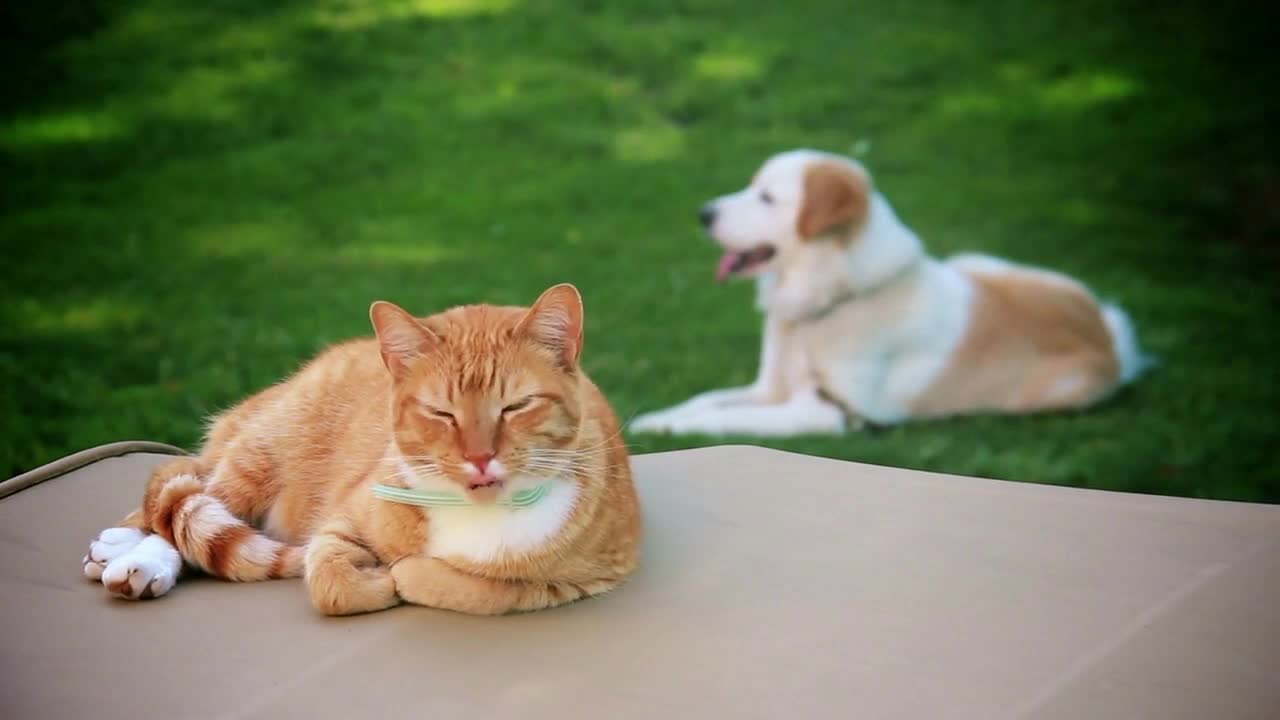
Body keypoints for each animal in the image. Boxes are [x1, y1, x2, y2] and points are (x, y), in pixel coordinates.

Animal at [80, 283, 640, 614]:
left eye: (516, 406)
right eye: (440, 413)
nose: (479, 457)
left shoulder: (589, 576)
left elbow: (484, 590)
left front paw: (408, 574)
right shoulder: (342, 519)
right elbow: (331, 580)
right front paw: (379, 579)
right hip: (258, 456)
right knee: (184, 505)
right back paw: (133, 556)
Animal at [634, 148, 1146, 435]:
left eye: (767, 198)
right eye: (751, 186)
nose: (703, 213)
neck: (821, 308)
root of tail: (1109, 336)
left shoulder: (827, 413)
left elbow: (725, 421)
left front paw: (673, 430)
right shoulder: (769, 388)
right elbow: (705, 400)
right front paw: (654, 419)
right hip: (976, 260)